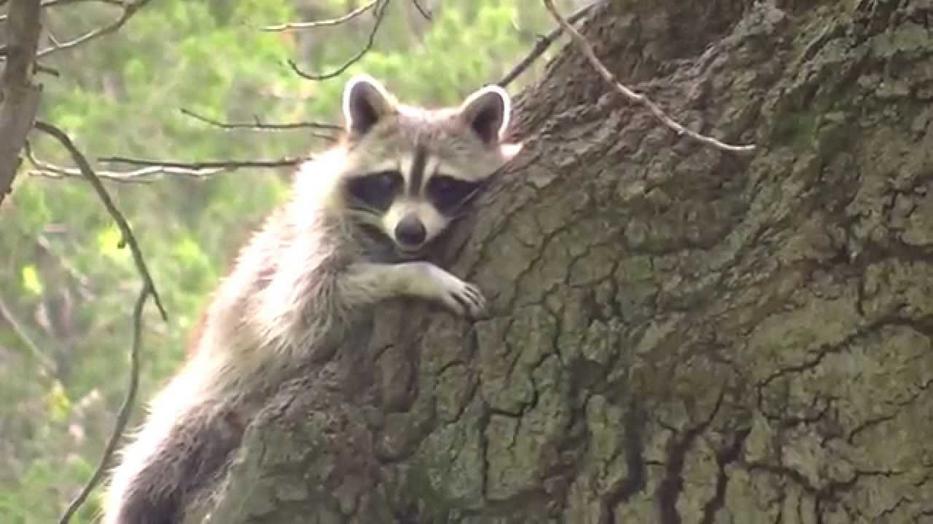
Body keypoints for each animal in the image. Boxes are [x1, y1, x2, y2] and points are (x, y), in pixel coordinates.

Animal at [105, 77, 520, 524]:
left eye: (442, 185)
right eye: (389, 180)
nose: (410, 231)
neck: (384, 235)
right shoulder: (315, 236)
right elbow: (309, 304)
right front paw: (419, 275)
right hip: (202, 396)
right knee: (150, 470)